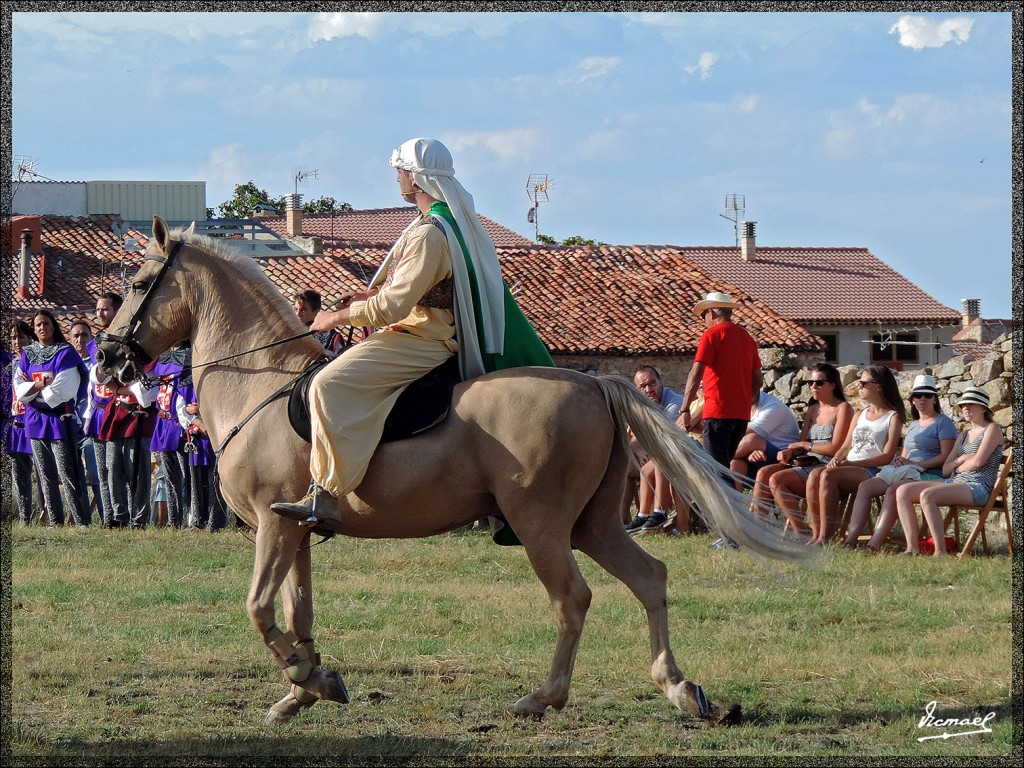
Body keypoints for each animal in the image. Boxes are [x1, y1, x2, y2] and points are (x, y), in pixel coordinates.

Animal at [97, 215, 815, 729]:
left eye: (135, 285)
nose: (106, 360)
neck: (261, 385)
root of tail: (596, 383)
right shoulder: (294, 531)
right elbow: (297, 614)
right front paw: (308, 688)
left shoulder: (274, 531)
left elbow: (257, 610)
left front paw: (306, 681)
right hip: (593, 523)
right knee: (650, 579)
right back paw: (682, 689)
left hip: (540, 524)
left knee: (573, 598)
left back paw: (542, 699)